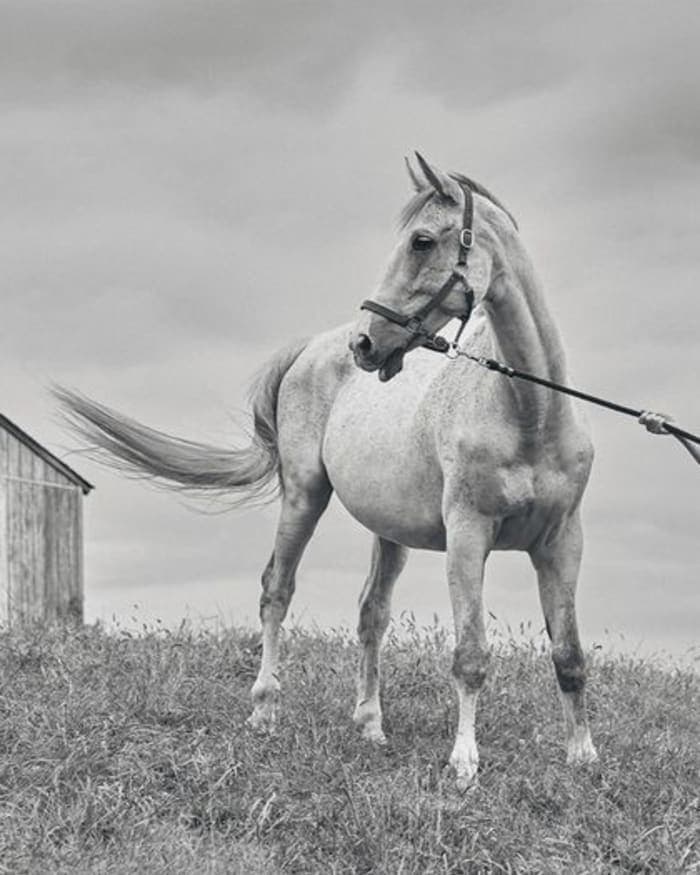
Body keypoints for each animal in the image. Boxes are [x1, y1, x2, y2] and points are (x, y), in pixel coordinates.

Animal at [55, 153, 598, 788]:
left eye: (421, 241)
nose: (365, 342)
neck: (530, 413)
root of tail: (313, 348)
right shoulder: (469, 536)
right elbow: (471, 655)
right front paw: (465, 762)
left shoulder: (561, 544)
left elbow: (568, 655)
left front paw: (583, 754)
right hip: (304, 496)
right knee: (277, 590)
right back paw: (265, 709)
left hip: (390, 532)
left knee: (371, 614)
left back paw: (370, 724)